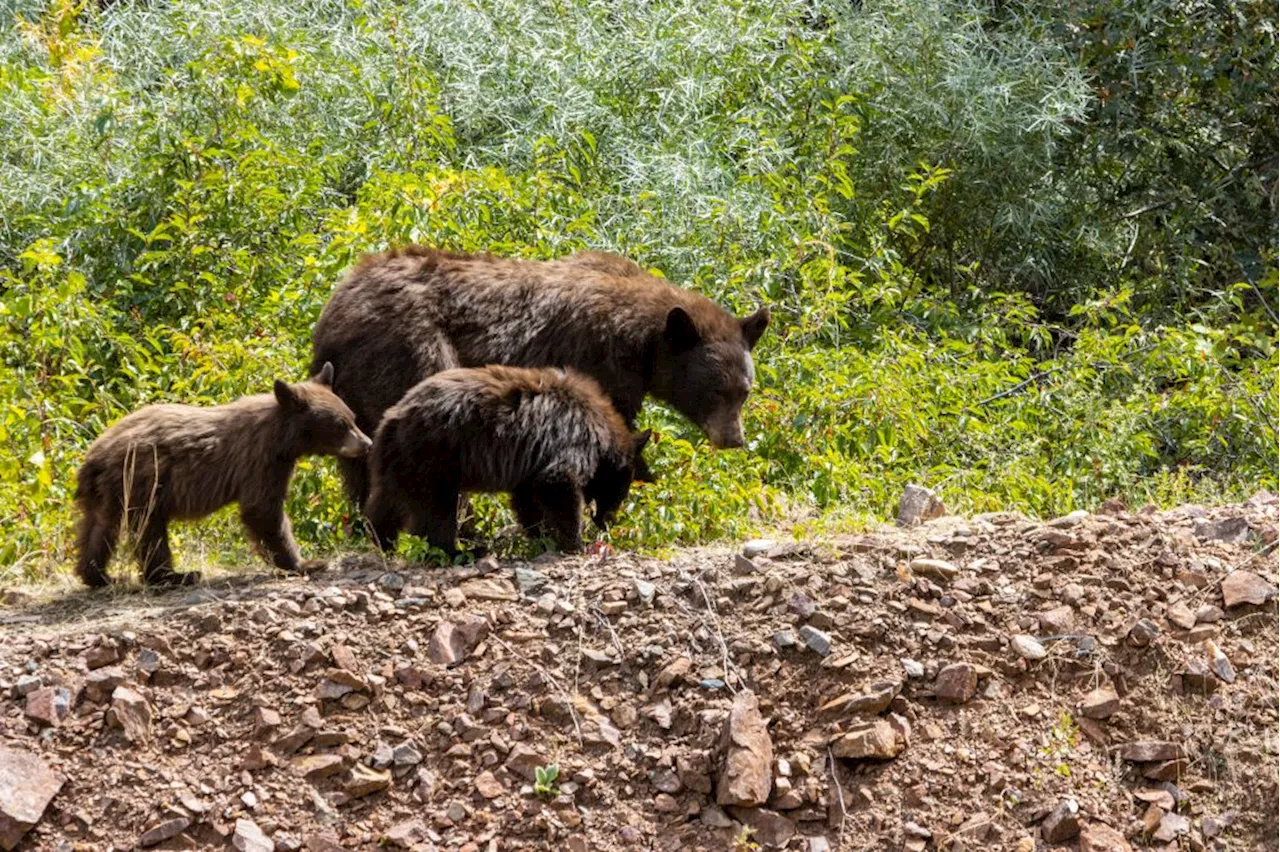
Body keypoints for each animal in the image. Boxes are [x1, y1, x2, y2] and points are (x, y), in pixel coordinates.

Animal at [309, 245, 768, 504]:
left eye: (745, 390)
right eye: (716, 390)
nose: (734, 438)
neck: (643, 342)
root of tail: (332, 314)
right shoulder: (597, 361)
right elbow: (612, 423)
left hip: (352, 385)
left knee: (360, 464)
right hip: (407, 350)